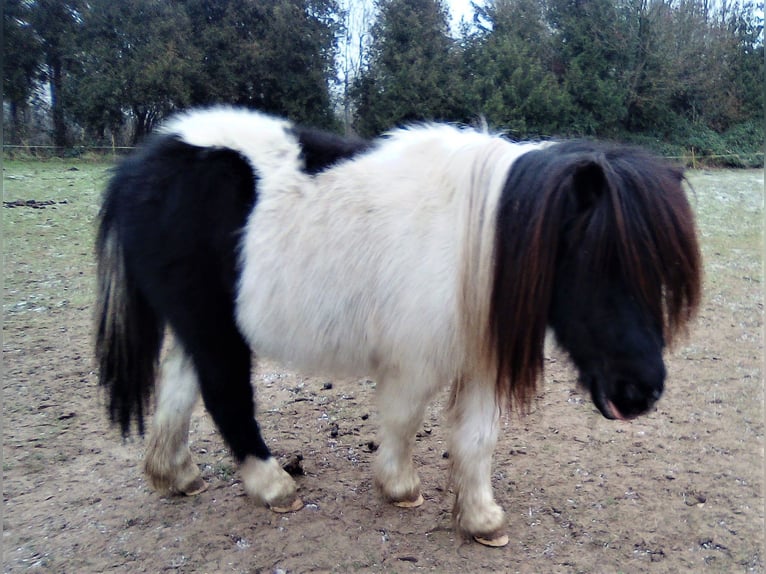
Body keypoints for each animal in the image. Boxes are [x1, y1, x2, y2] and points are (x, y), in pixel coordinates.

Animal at [94, 108, 704, 548]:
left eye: (662, 278)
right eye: (597, 265)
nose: (642, 392)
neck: (474, 240)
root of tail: (137, 169)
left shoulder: (479, 358)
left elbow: (477, 438)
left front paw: (481, 520)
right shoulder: (415, 360)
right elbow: (404, 420)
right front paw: (399, 487)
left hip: (197, 326)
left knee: (180, 389)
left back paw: (175, 475)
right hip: (214, 328)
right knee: (226, 397)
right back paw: (272, 486)